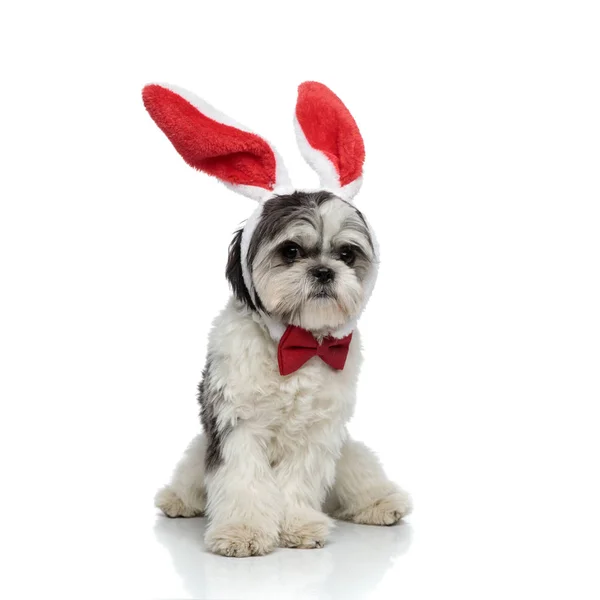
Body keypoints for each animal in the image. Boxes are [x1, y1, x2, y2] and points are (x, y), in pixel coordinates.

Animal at [143, 81, 410, 556]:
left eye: (347, 255)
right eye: (290, 251)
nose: (323, 271)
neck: (293, 342)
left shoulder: (318, 434)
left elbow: (298, 484)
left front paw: (299, 526)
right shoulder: (236, 425)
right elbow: (243, 482)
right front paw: (242, 531)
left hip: (347, 451)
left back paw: (380, 503)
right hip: (201, 446)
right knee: (192, 473)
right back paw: (178, 499)